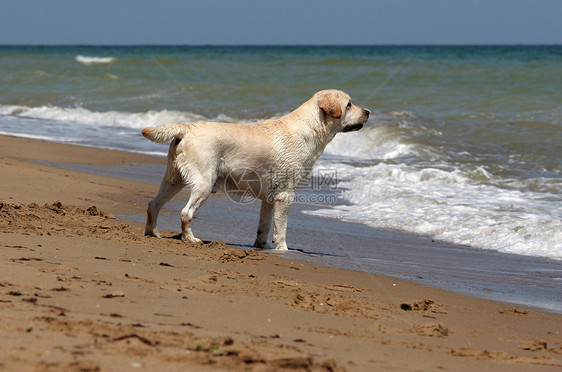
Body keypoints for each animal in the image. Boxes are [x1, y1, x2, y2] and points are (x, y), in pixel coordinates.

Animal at [141, 89, 368, 250]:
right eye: (349, 104)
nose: (368, 112)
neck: (311, 129)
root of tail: (187, 128)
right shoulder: (285, 196)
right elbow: (281, 229)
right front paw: (283, 250)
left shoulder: (270, 198)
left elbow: (264, 226)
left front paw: (262, 246)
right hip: (203, 184)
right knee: (185, 213)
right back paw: (191, 239)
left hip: (173, 179)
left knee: (153, 204)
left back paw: (153, 233)